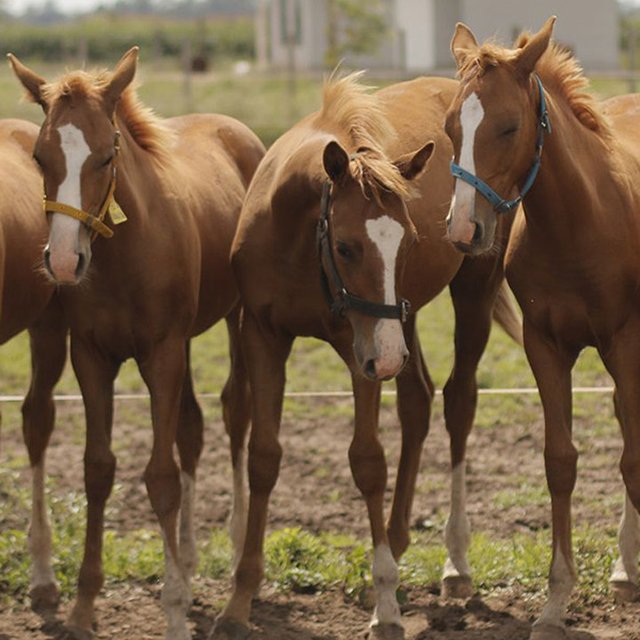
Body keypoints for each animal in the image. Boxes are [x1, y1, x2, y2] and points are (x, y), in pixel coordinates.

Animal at [9, 48, 265, 640]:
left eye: (106, 156)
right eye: (39, 156)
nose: (63, 262)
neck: (127, 251)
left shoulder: (161, 354)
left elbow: (160, 477)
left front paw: (173, 611)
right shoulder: (92, 357)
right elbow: (98, 469)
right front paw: (82, 608)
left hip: (237, 319)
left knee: (234, 413)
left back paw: (233, 555)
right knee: (193, 427)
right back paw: (189, 560)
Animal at [210, 71, 521, 639]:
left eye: (410, 242)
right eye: (347, 247)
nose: (390, 359)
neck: (300, 244)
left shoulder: (365, 353)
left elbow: (368, 462)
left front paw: (387, 606)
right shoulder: (263, 337)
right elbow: (264, 457)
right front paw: (239, 601)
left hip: (463, 294)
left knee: (458, 403)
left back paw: (455, 565)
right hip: (401, 324)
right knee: (418, 401)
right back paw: (397, 539)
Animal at [444, 16, 640, 640]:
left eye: (508, 126)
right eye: (451, 125)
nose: (464, 232)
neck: (583, 221)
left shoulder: (626, 341)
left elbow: (632, 459)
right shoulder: (545, 346)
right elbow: (560, 460)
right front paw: (555, 603)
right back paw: (625, 568)